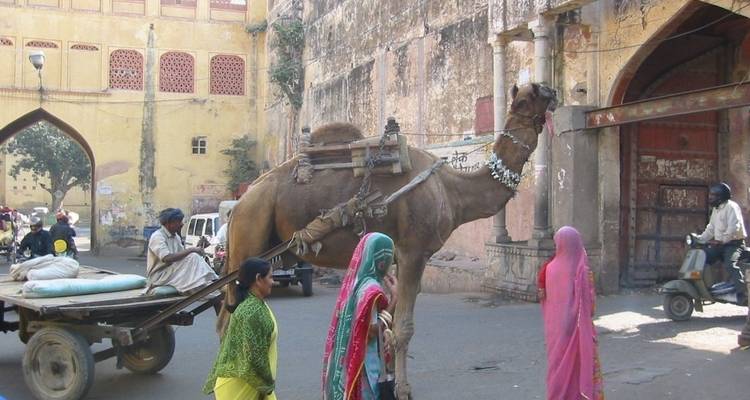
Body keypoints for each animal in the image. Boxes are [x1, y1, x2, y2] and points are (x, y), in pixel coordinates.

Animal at [221, 82, 557, 399]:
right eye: (523, 100)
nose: (551, 90)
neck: (452, 190)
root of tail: (239, 203)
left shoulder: (399, 256)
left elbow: (390, 321)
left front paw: (389, 379)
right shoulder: (413, 251)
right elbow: (405, 326)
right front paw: (404, 389)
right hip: (250, 233)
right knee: (228, 316)